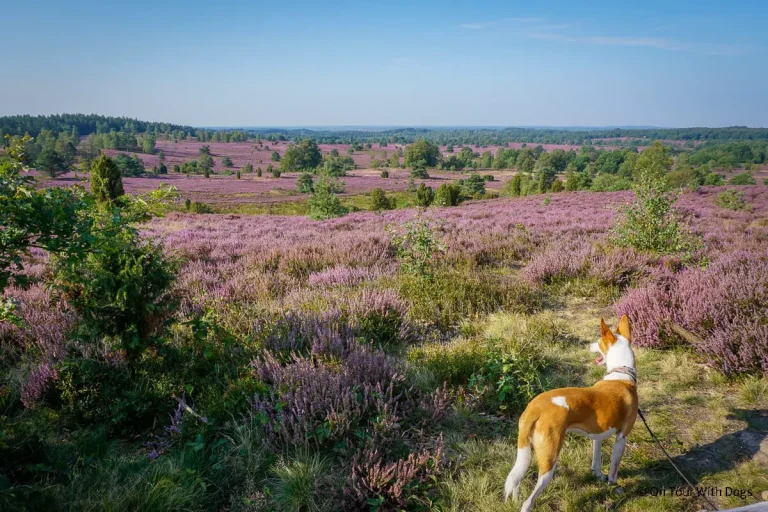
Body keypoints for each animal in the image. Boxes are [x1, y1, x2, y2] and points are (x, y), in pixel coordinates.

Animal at [504, 316, 636, 512]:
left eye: (598, 342)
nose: (589, 345)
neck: (621, 373)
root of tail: (535, 407)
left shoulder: (597, 436)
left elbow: (596, 462)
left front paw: (598, 476)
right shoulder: (622, 438)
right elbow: (614, 468)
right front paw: (614, 486)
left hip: (525, 452)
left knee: (516, 479)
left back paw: (515, 498)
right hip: (549, 459)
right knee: (529, 500)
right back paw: (526, 503)